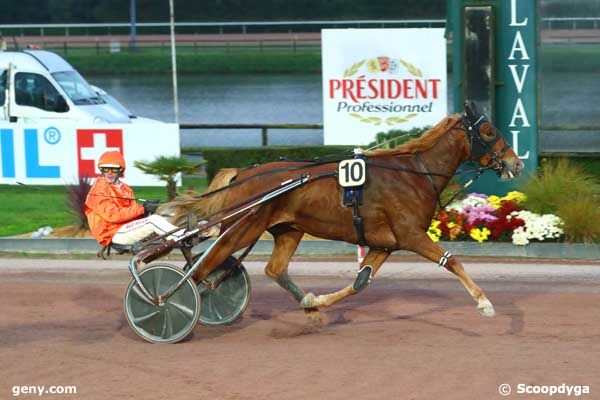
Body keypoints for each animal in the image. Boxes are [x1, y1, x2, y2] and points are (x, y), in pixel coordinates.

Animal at [162, 104, 524, 318]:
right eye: (488, 131)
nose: (516, 163)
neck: (414, 173)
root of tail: (243, 172)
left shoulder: (384, 243)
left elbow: (361, 282)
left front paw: (317, 302)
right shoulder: (411, 235)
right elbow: (453, 261)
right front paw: (484, 302)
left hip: (288, 230)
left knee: (273, 269)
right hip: (243, 227)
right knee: (206, 264)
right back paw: (170, 301)